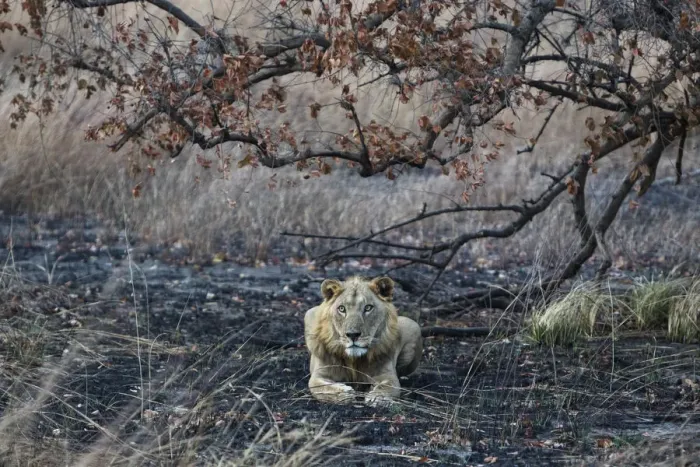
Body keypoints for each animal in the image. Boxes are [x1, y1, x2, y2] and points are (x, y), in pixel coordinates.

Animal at [303, 275, 423, 407]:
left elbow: (388, 386)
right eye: (342, 309)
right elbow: (320, 387)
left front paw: (376, 397)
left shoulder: (388, 375)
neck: (353, 361)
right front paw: (344, 394)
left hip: (413, 326)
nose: (352, 335)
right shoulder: (319, 374)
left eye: (368, 308)